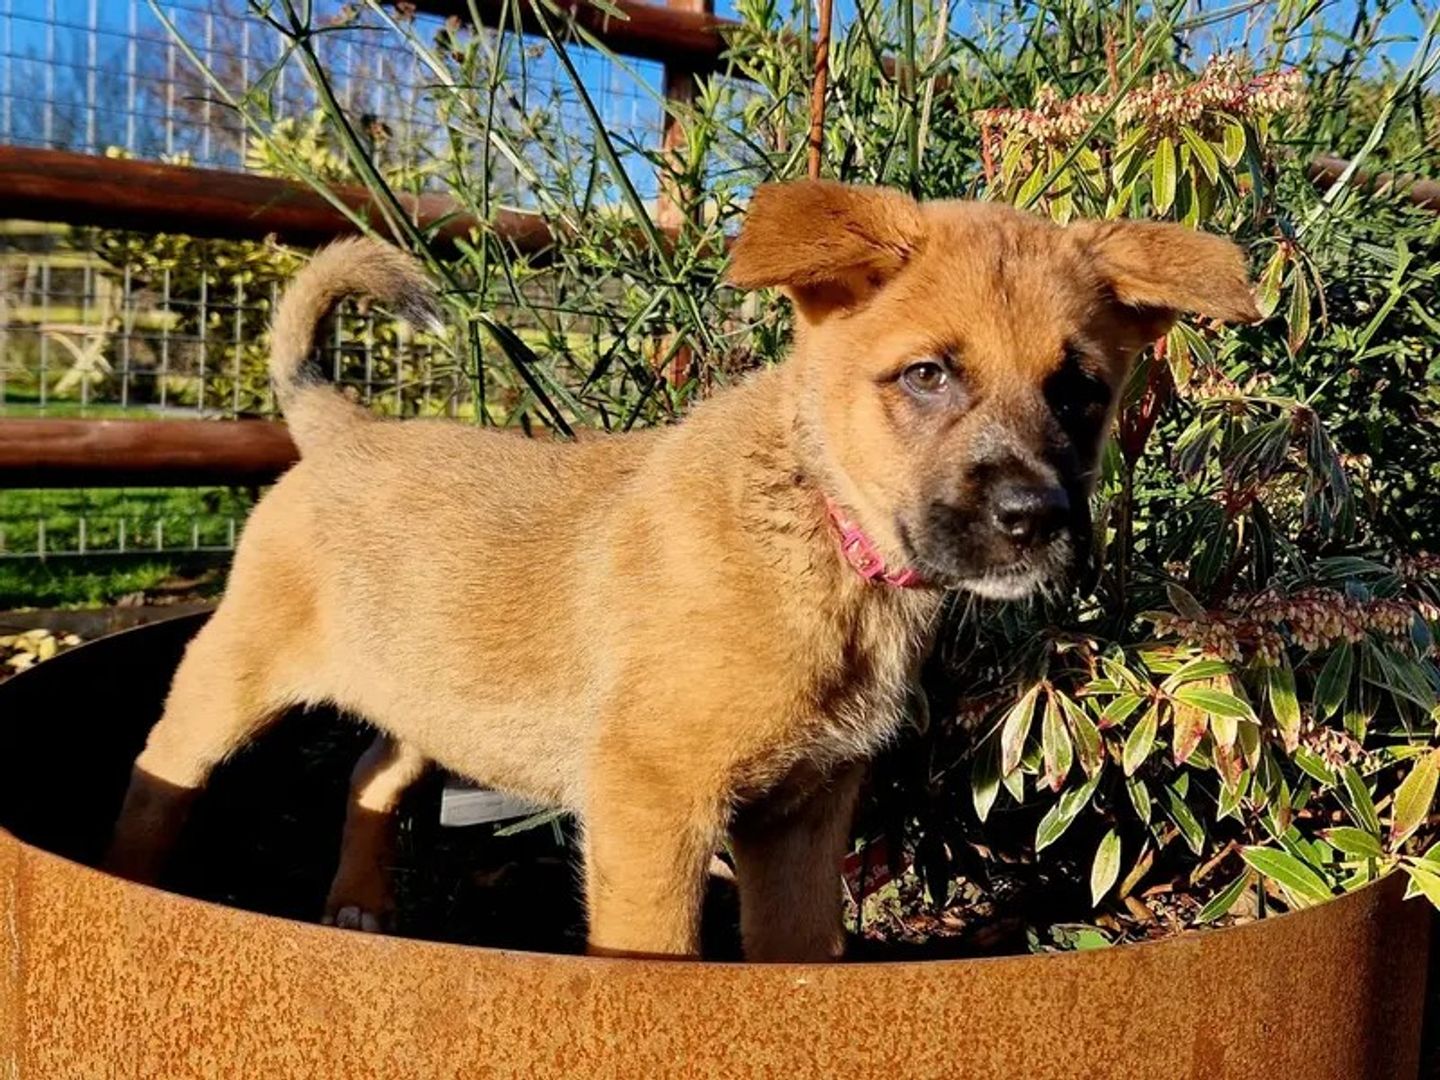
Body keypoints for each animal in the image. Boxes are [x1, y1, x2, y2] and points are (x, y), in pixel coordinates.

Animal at [106, 184, 1255, 961]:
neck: (818, 538)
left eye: (1080, 391)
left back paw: (362, 907)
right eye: (927, 375)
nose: (1036, 521)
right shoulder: (651, 803)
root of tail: (337, 425)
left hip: (426, 683)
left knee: (370, 773)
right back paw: (130, 886)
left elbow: (794, 956)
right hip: (232, 677)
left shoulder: (802, 820)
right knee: (161, 773)